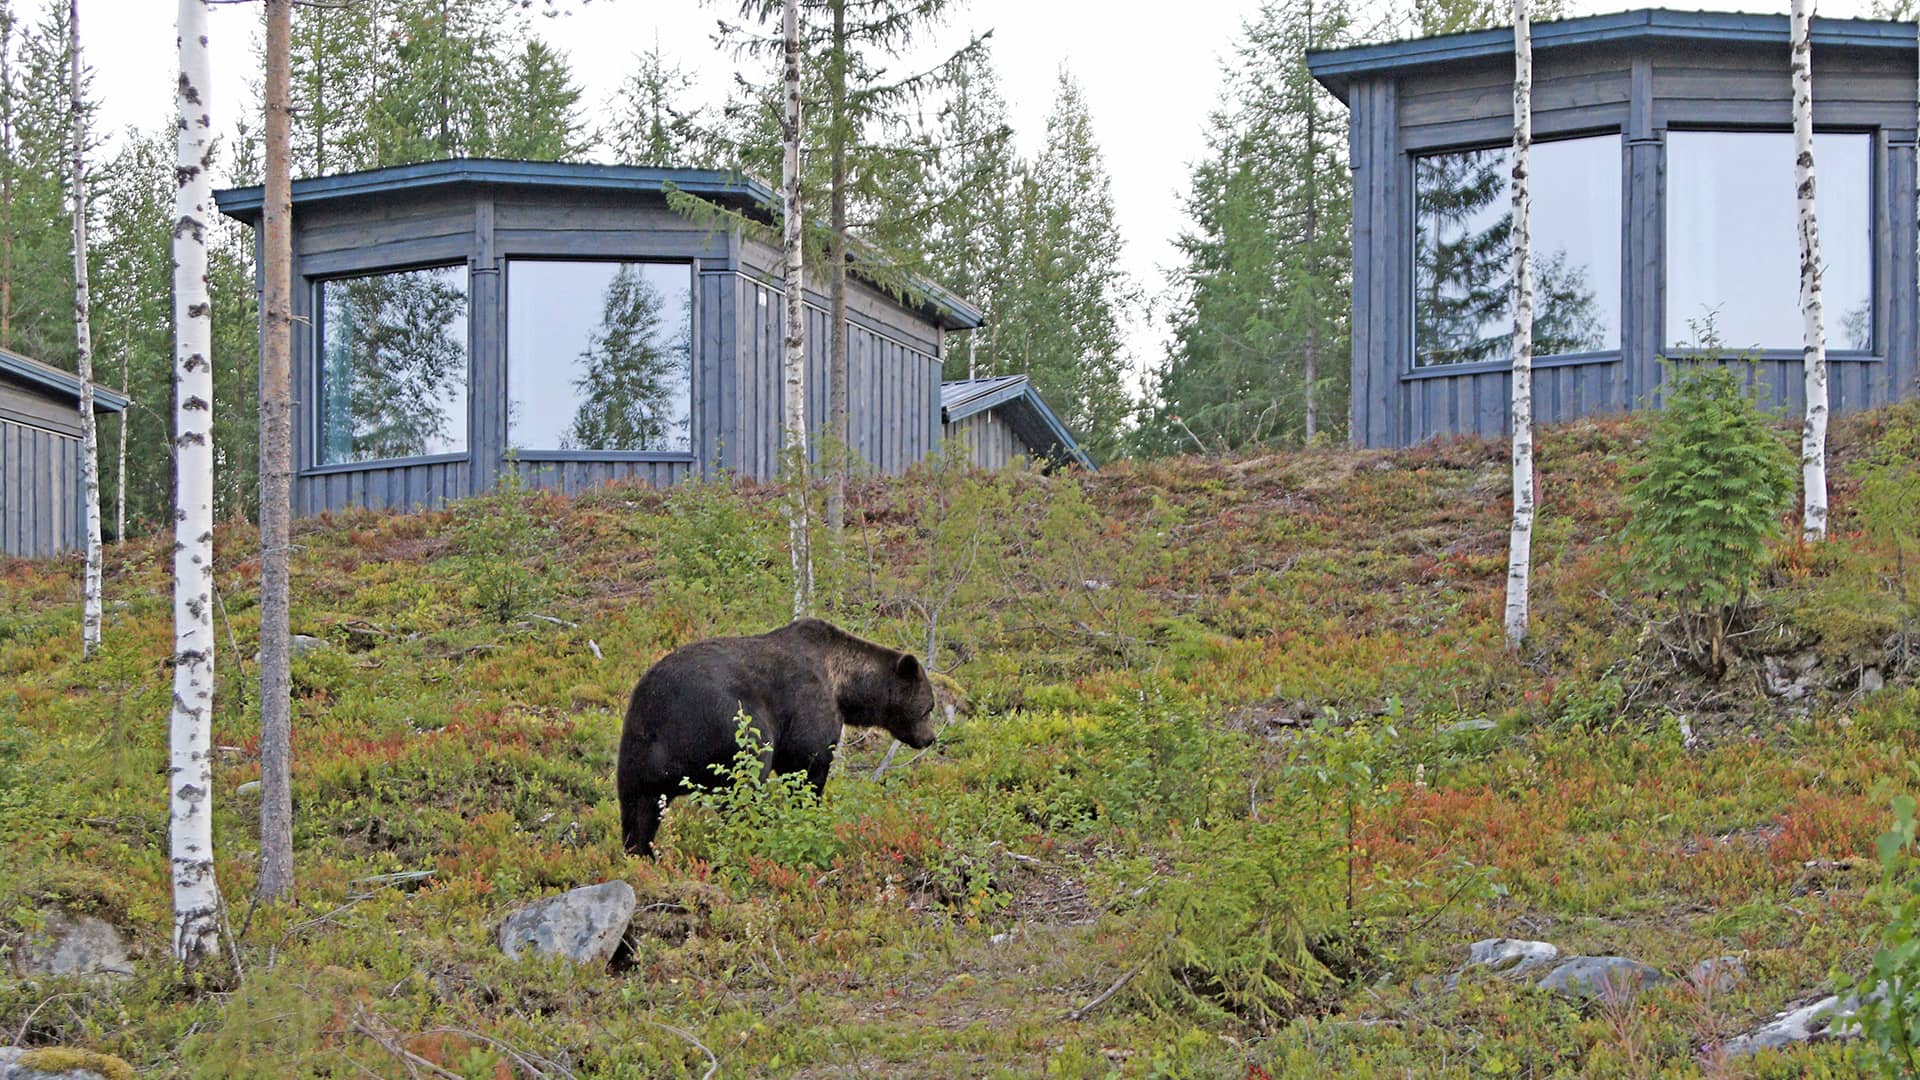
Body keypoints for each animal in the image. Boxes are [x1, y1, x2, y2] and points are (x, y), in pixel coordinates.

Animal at [616, 617, 938, 857]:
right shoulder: (808, 705)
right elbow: (808, 765)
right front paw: (809, 814)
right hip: (730, 726)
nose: (930, 738)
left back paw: (644, 854)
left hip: (640, 746)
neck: (843, 685)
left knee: (639, 811)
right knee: (742, 788)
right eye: (928, 707)